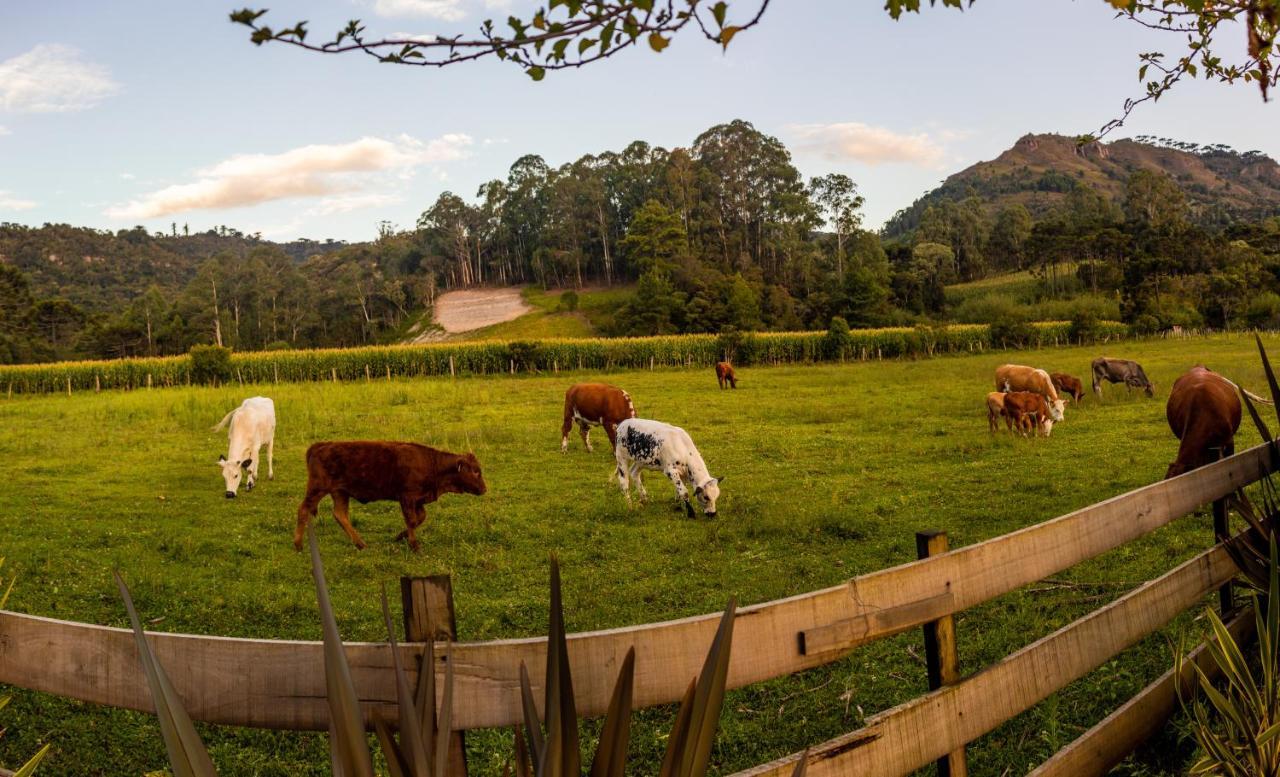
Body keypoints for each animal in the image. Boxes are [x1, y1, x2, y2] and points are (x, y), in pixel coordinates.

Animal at [293, 442, 483, 552]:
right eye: (475, 471)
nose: (484, 489)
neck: (431, 462)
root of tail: (320, 445)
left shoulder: (417, 501)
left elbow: (420, 518)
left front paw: (400, 537)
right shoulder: (407, 498)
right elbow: (412, 520)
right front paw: (414, 546)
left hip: (340, 492)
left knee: (340, 515)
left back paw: (361, 544)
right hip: (318, 489)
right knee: (303, 509)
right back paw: (298, 545)